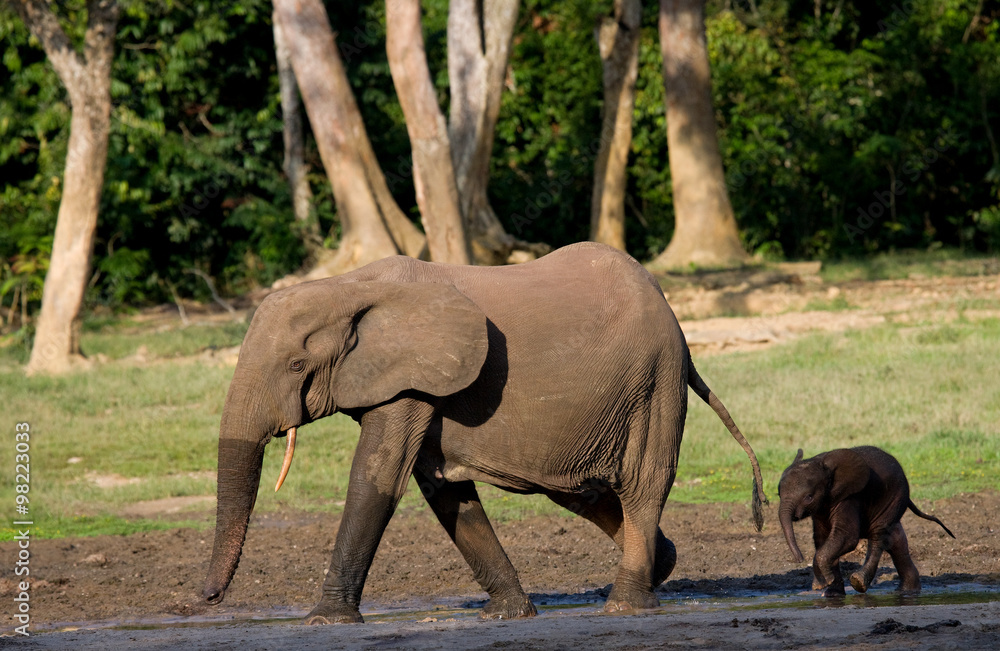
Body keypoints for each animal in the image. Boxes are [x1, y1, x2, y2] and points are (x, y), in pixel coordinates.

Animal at [202, 242, 767, 624]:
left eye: (298, 365)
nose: (206, 599)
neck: (348, 287)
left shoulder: (410, 379)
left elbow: (376, 481)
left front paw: (325, 620)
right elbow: (445, 492)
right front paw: (508, 616)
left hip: (655, 379)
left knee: (642, 485)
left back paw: (625, 605)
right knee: (579, 492)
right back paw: (661, 566)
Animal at [778, 446, 954, 596]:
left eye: (809, 497)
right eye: (778, 494)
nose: (799, 559)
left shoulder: (849, 498)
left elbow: (846, 537)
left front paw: (821, 584)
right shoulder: (822, 508)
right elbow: (822, 539)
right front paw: (832, 593)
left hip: (894, 498)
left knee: (879, 537)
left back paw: (860, 582)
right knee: (896, 540)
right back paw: (908, 591)